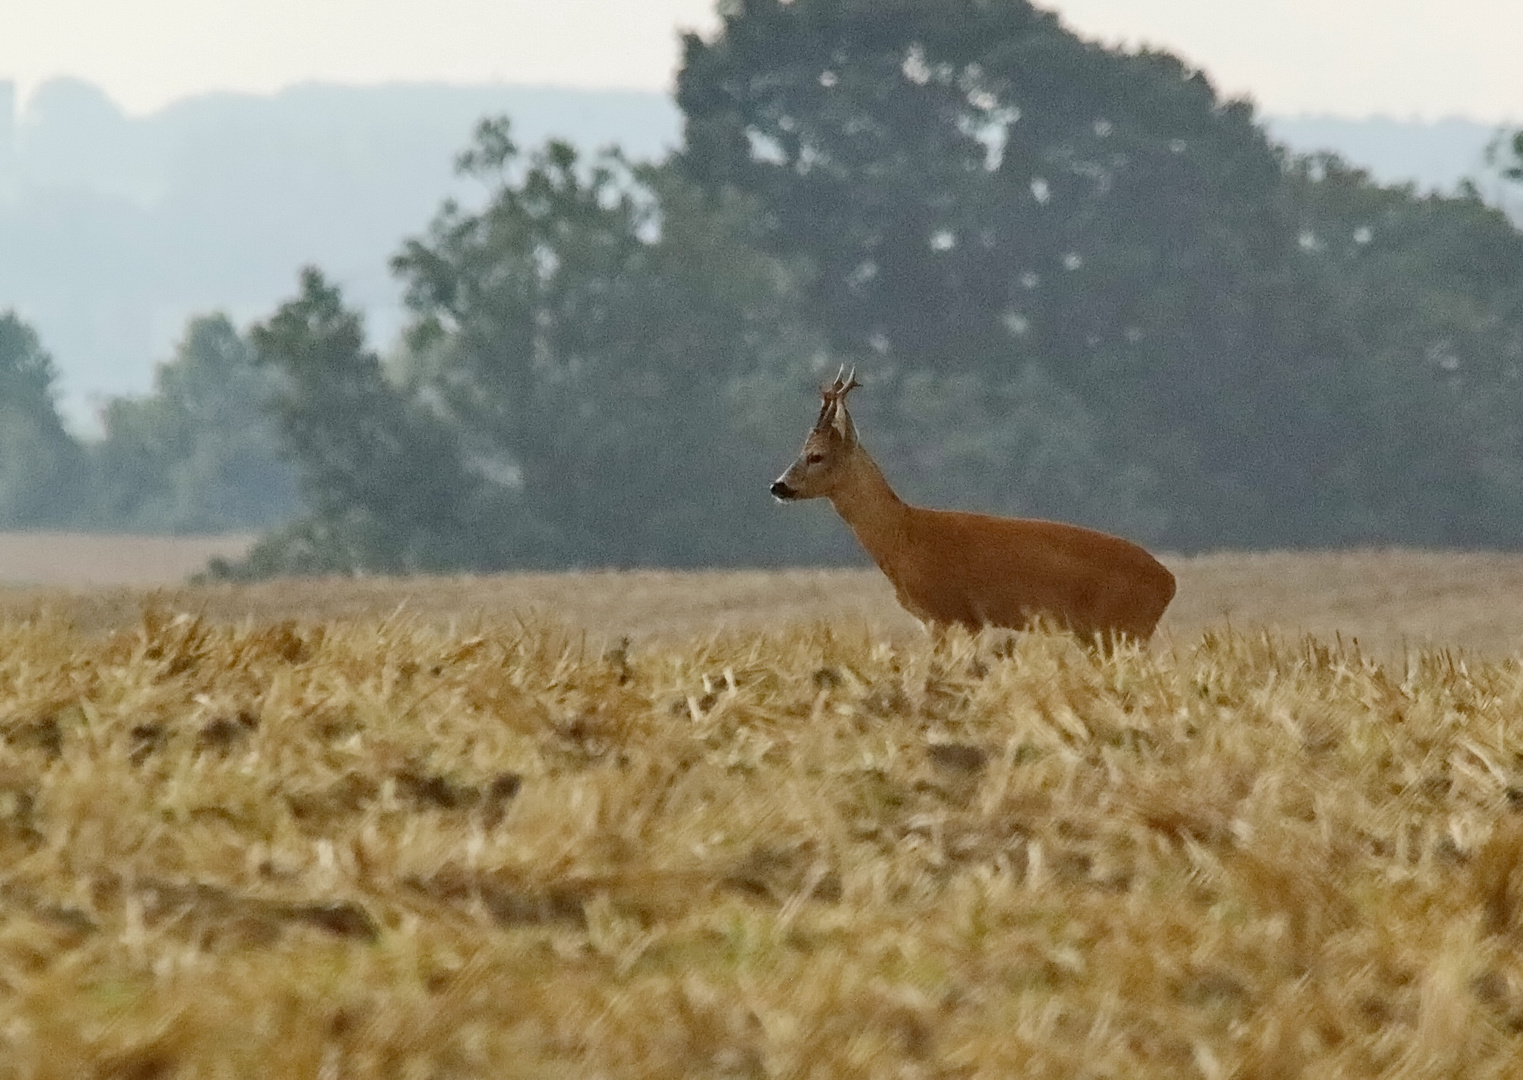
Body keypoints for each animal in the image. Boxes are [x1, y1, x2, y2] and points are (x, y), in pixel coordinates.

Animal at [773, 368, 1175, 639]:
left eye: (816, 456)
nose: (778, 486)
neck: (904, 537)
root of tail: (1168, 582)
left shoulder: (954, 613)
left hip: (1122, 629)